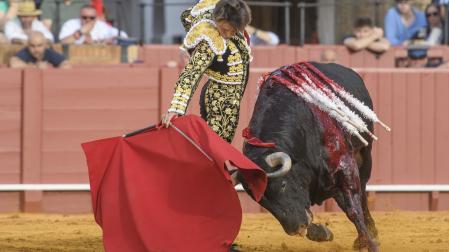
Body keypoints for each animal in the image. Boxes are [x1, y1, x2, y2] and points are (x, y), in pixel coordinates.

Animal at [238, 61, 382, 252]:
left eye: (283, 184)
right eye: (260, 200)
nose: (295, 228)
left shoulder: (345, 165)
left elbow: (353, 209)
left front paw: (369, 243)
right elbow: (310, 213)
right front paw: (321, 232)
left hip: (364, 155)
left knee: (362, 195)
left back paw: (369, 233)